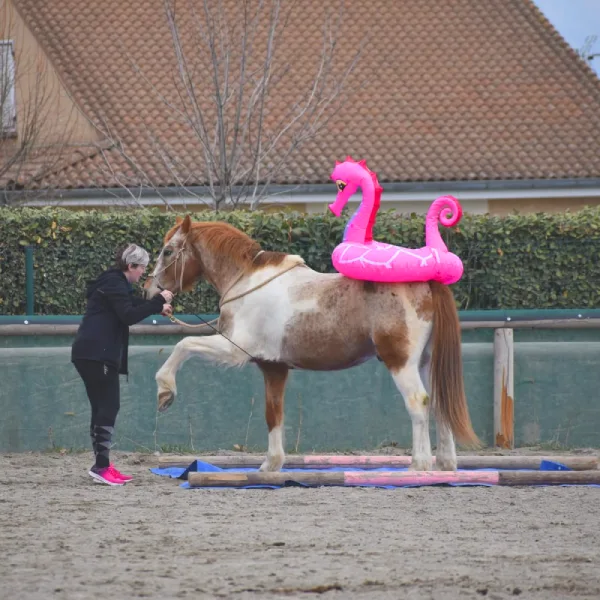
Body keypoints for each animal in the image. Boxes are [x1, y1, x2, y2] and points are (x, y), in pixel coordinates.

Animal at [143, 216, 480, 474]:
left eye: (168, 251)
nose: (150, 290)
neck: (248, 282)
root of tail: (428, 281)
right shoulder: (273, 367)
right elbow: (273, 414)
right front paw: (271, 465)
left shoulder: (235, 348)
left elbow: (185, 344)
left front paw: (165, 391)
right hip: (425, 362)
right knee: (439, 402)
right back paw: (446, 464)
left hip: (401, 363)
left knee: (418, 403)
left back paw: (418, 465)